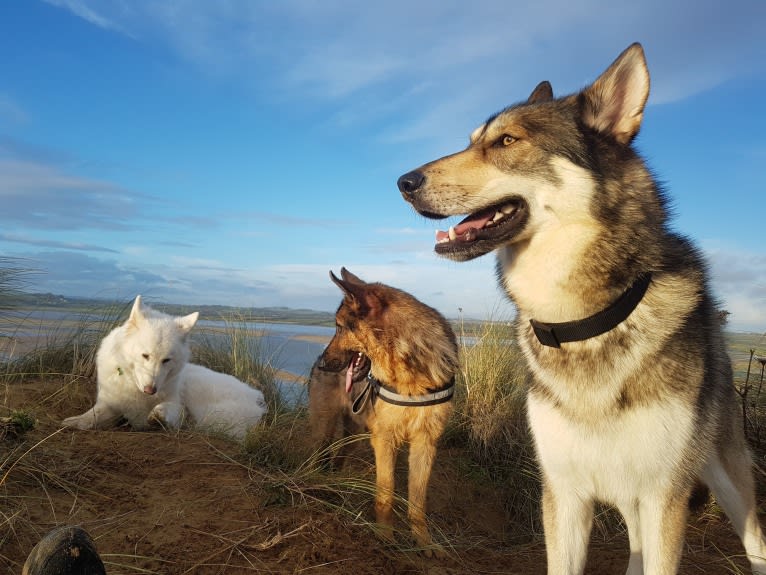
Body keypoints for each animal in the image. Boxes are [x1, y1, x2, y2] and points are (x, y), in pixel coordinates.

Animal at [400, 42, 764, 572]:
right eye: (471, 141)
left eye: (507, 140)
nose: (403, 181)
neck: (581, 323)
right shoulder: (564, 494)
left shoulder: (665, 497)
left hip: (727, 483)